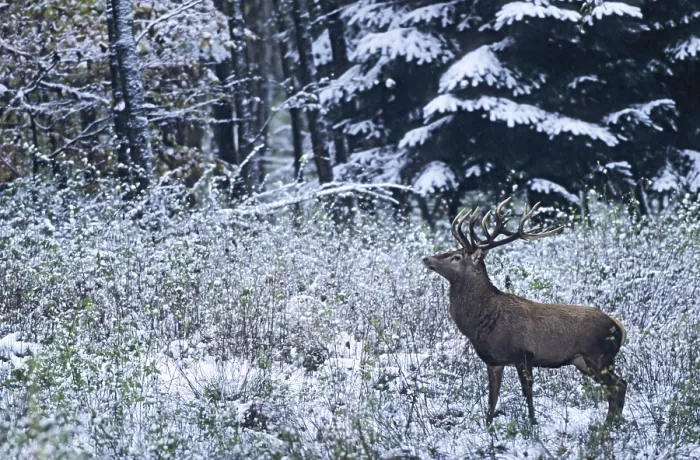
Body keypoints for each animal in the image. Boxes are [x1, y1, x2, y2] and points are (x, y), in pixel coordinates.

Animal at [422, 197, 627, 425]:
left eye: (456, 257)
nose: (427, 259)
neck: (484, 322)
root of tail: (618, 327)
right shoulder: (493, 362)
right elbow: (492, 399)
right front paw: (488, 427)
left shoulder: (524, 354)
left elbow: (527, 394)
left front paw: (532, 425)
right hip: (583, 361)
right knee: (619, 385)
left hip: (599, 355)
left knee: (618, 386)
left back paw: (609, 426)